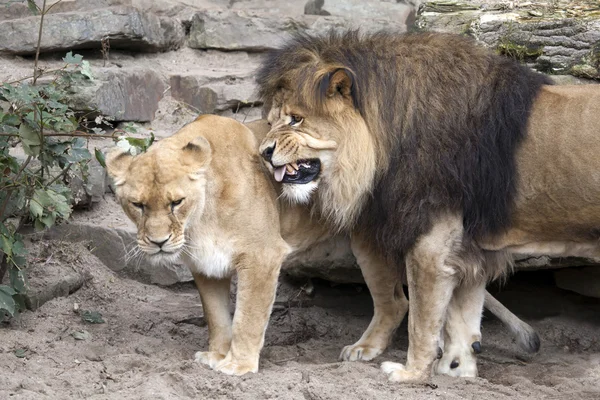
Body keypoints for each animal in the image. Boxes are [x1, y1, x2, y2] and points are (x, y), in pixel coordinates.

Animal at [104, 114, 540, 376]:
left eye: (176, 202)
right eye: (137, 205)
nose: (159, 243)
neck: (199, 218)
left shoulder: (262, 257)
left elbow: (247, 318)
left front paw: (238, 365)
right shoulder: (205, 266)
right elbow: (216, 317)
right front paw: (216, 354)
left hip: (370, 246)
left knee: (398, 301)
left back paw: (367, 350)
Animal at [255, 29, 600, 382]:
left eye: (296, 120)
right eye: (270, 122)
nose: (263, 153)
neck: (386, 133)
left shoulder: (431, 245)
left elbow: (422, 320)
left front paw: (412, 373)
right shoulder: (469, 251)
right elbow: (462, 320)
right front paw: (455, 371)